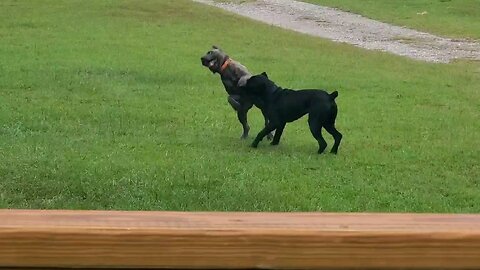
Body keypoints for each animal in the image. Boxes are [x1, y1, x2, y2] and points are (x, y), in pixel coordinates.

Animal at [201, 46, 344, 154]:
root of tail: (331, 96)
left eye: (249, 84)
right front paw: (273, 145)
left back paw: (319, 153)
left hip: (315, 122)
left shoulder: (274, 122)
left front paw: (254, 145)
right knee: (338, 135)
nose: (240, 86)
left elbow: (261, 132)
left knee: (323, 142)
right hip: (328, 123)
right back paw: (333, 152)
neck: (271, 93)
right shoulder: (281, 123)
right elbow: (276, 135)